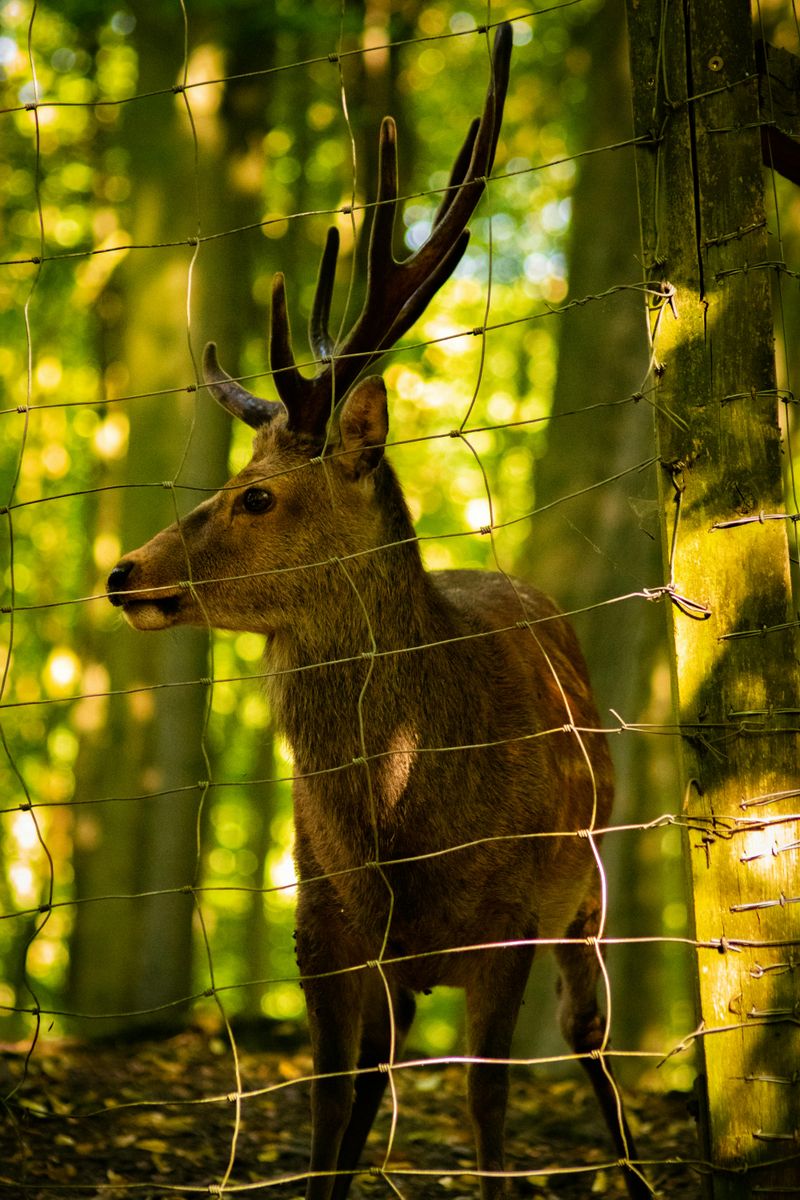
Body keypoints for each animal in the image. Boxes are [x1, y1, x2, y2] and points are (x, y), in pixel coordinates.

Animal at [107, 23, 649, 1200]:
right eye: (231, 478)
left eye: (260, 496)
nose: (124, 573)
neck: (407, 828)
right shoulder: (323, 925)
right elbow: (328, 1119)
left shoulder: (508, 926)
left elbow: (486, 1114)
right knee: (387, 1082)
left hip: (588, 886)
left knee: (588, 1039)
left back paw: (635, 1169)